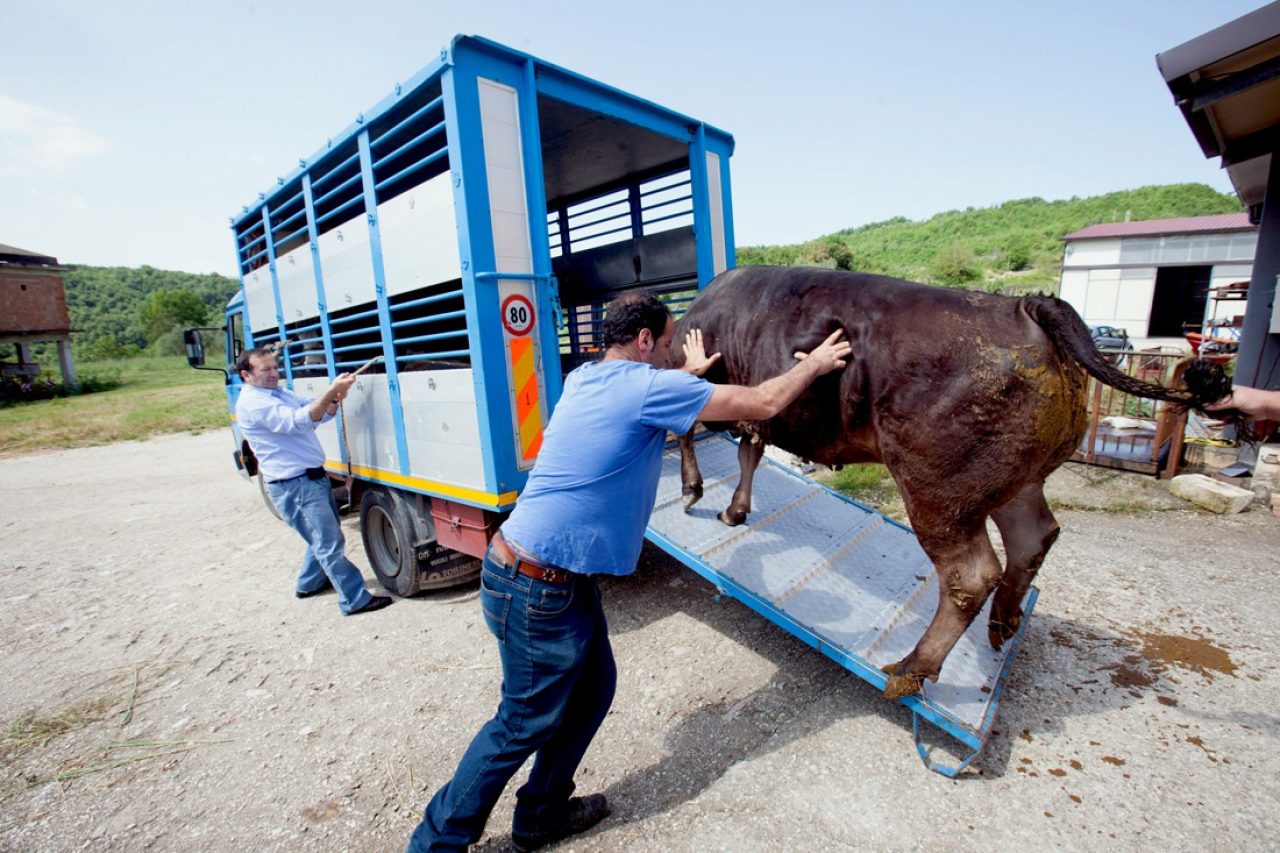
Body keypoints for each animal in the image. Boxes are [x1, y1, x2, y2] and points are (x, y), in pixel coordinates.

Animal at [670, 266, 1218, 696]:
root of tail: (1025, 304)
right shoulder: (755, 417)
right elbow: (748, 452)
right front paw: (734, 509)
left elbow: (687, 433)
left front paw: (693, 490)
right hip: (1015, 482)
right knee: (1033, 538)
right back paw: (1003, 622)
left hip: (937, 494)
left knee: (970, 575)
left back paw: (910, 669)